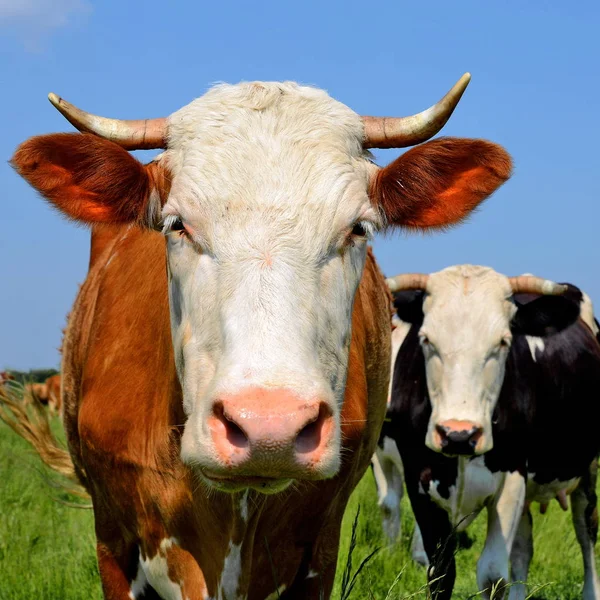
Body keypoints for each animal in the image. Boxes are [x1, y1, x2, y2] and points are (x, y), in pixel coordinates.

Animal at [382, 268, 596, 600]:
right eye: (426, 339)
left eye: (503, 342)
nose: (458, 434)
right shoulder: (417, 477)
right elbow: (440, 573)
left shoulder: (512, 477)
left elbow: (493, 576)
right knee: (523, 548)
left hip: (588, 469)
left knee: (586, 530)